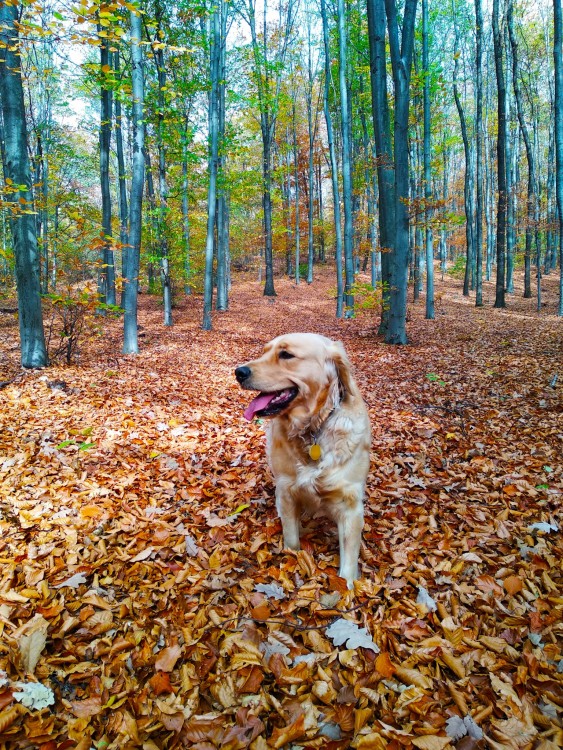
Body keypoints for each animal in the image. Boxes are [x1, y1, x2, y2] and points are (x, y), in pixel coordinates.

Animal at [236, 334, 372, 588]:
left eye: (286, 354)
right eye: (264, 351)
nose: (239, 372)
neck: (313, 428)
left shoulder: (350, 506)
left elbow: (348, 564)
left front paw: (347, 590)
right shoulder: (286, 490)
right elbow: (291, 539)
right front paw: (293, 558)